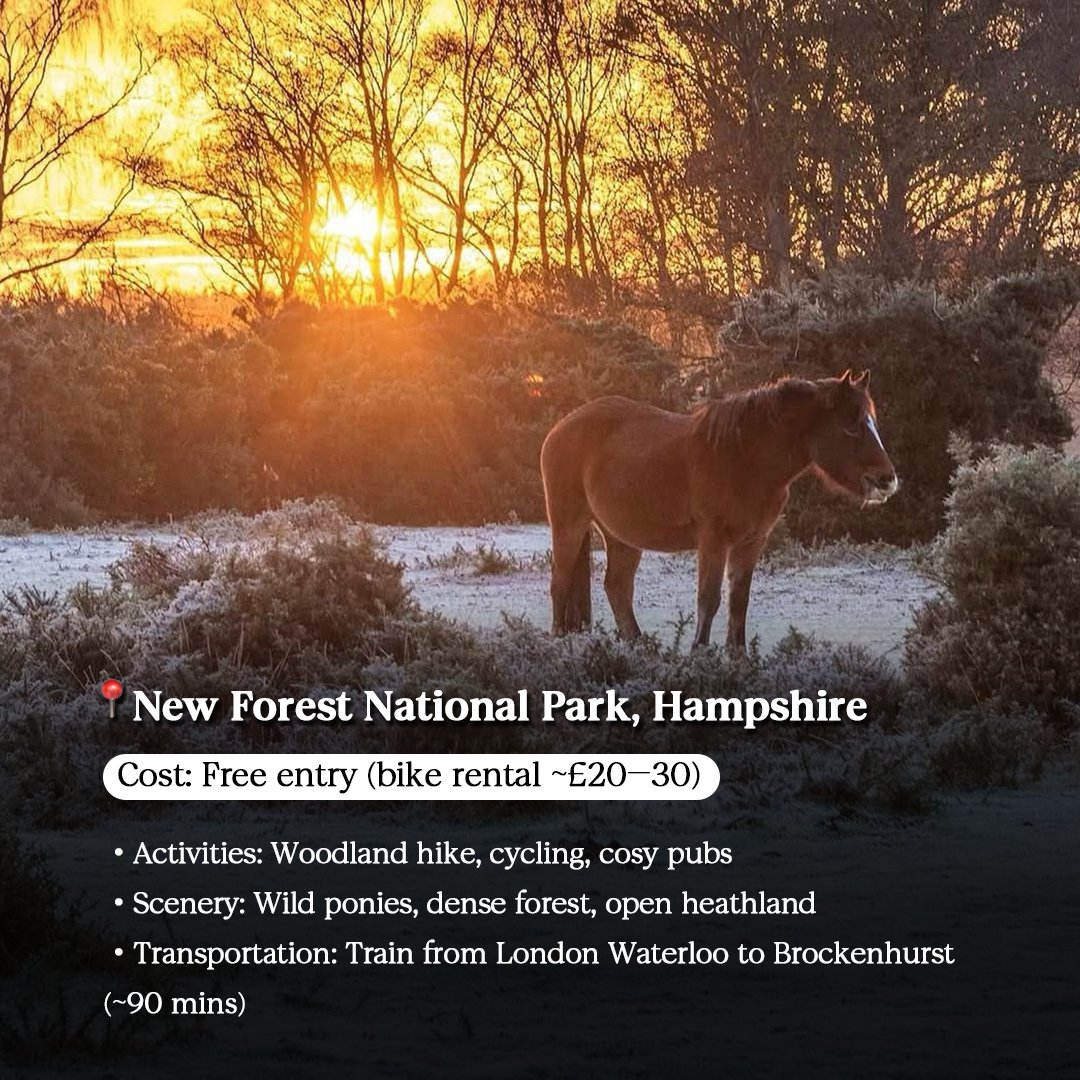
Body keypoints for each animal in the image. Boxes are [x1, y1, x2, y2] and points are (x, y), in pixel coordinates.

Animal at [540, 370, 898, 652]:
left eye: (872, 422)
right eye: (850, 427)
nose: (887, 480)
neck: (744, 458)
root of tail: (558, 429)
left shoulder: (752, 542)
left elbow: (738, 601)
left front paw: (737, 657)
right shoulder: (713, 539)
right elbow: (708, 600)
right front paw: (699, 653)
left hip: (622, 536)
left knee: (617, 589)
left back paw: (640, 646)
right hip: (569, 523)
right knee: (560, 582)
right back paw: (559, 641)